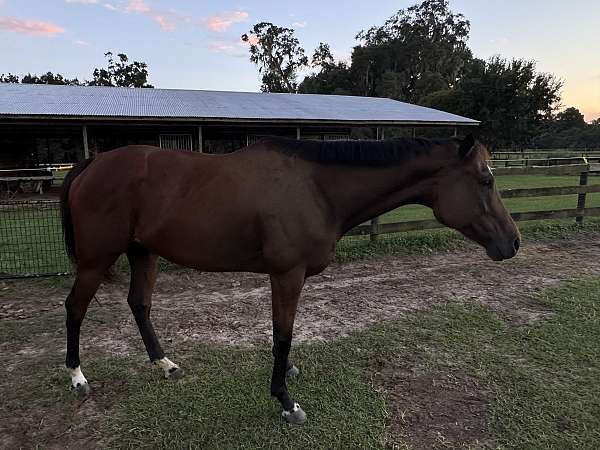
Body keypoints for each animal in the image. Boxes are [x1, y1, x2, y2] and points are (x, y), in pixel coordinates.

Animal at [62, 135, 520, 424]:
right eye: (486, 180)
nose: (513, 242)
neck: (317, 188)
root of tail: (92, 163)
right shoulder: (287, 275)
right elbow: (284, 333)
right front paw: (285, 400)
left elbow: (283, 335)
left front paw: (288, 375)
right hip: (96, 261)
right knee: (75, 308)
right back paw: (77, 377)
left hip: (143, 253)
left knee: (139, 304)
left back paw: (164, 364)